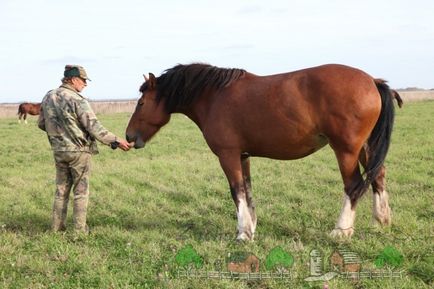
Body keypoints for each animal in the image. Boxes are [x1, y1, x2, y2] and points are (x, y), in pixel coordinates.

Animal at [124, 63, 400, 241]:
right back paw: (381, 222)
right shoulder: (243, 156)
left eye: (141, 103)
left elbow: (236, 191)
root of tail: (372, 81)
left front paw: (243, 234)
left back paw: (341, 231)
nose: (128, 137)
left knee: (353, 185)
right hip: (365, 147)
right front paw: (251, 228)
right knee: (378, 176)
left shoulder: (228, 155)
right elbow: (247, 191)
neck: (214, 96)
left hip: (346, 150)